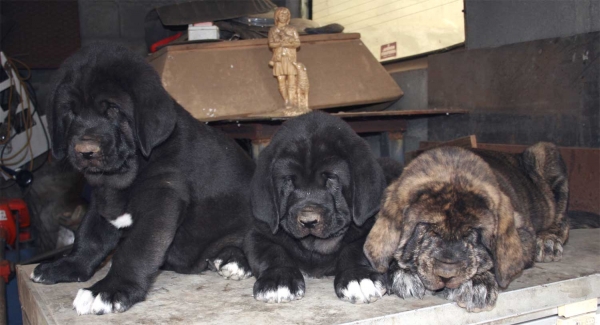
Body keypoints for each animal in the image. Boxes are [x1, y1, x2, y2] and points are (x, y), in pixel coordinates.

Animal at [31, 43, 255, 314]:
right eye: (71, 112)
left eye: (114, 110)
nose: (85, 151)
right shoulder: (102, 201)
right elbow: (89, 236)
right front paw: (69, 265)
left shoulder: (161, 199)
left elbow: (133, 250)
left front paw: (109, 289)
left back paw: (235, 261)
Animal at [245, 112, 390, 304]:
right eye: (289, 181)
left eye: (331, 178)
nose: (308, 221)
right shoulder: (258, 232)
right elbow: (271, 252)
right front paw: (278, 278)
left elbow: (355, 249)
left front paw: (357, 277)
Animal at [364, 143, 568, 310]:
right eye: (427, 228)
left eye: (472, 233)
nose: (446, 274)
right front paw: (403, 272)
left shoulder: (522, 233)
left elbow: (491, 259)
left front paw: (478, 283)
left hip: (545, 154)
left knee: (563, 220)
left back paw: (548, 241)